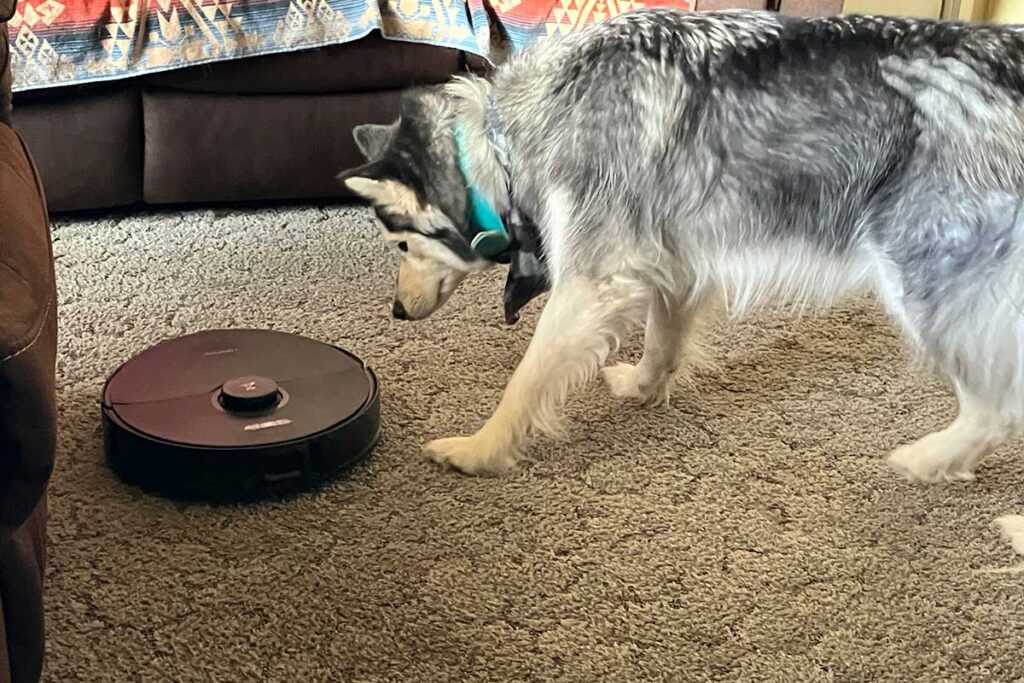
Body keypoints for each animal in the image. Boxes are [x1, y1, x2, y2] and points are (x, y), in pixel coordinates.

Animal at [342, 9, 1024, 481]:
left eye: (399, 244)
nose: (395, 312)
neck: (504, 135)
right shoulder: (674, 262)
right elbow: (662, 341)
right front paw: (644, 388)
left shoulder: (592, 281)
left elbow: (526, 381)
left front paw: (481, 449)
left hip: (929, 285)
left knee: (997, 408)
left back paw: (934, 462)